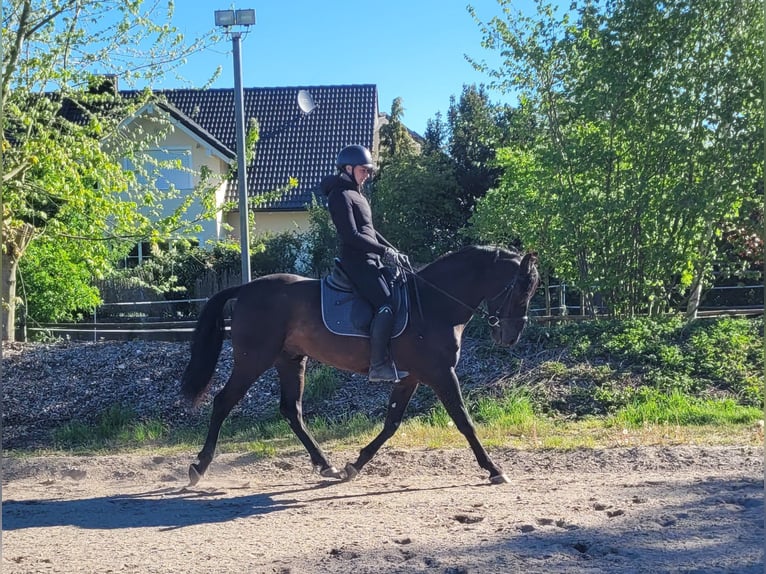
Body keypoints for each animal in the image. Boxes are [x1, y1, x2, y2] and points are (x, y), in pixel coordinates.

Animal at [180, 245, 540, 485]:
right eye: (521, 288)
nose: (511, 337)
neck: (434, 303)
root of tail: (246, 288)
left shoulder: (411, 377)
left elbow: (391, 423)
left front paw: (356, 464)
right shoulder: (440, 374)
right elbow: (464, 421)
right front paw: (494, 469)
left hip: (290, 360)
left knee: (291, 410)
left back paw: (326, 465)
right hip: (253, 359)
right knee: (223, 401)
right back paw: (199, 467)